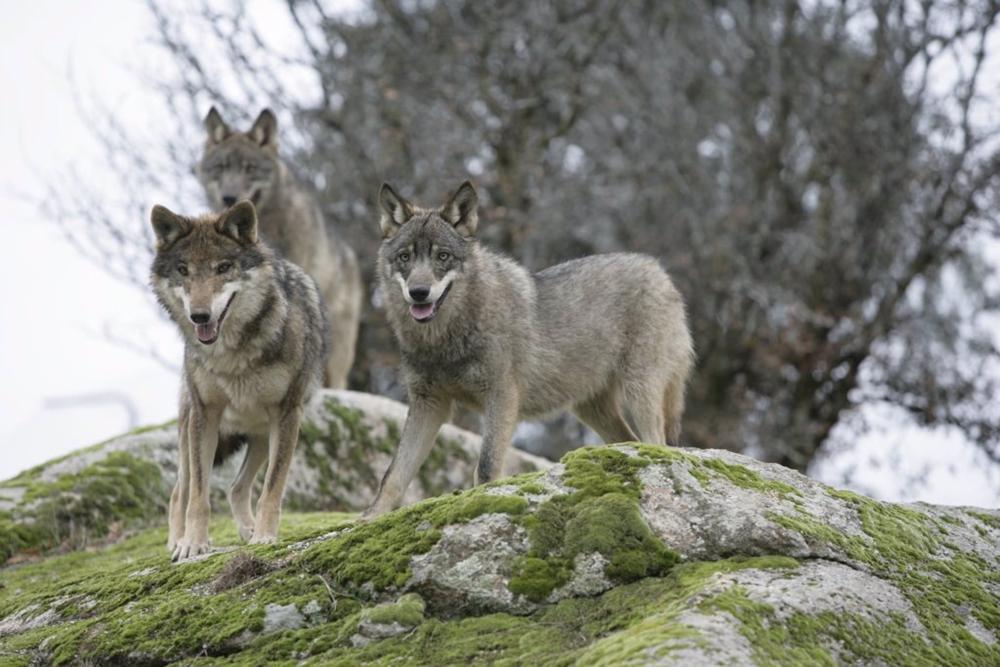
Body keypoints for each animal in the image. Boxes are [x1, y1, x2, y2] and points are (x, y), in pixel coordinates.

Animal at [150, 201, 328, 561]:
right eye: (183, 270)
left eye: (223, 268)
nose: (200, 316)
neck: (231, 354)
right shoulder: (206, 415)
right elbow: (199, 495)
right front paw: (193, 544)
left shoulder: (287, 414)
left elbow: (272, 488)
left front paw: (264, 537)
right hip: (190, 430)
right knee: (180, 491)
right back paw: (176, 541)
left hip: (261, 434)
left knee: (236, 487)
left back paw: (248, 531)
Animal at [366, 181, 695, 516]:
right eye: (405, 257)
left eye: (443, 256)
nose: (419, 293)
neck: (444, 339)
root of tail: (659, 271)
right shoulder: (428, 403)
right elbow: (393, 475)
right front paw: (370, 518)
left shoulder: (501, 396)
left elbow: (486, 467)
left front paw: (481, 502)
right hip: (592, 408)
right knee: (630, 441)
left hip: (639, 392)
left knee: (658, 443)